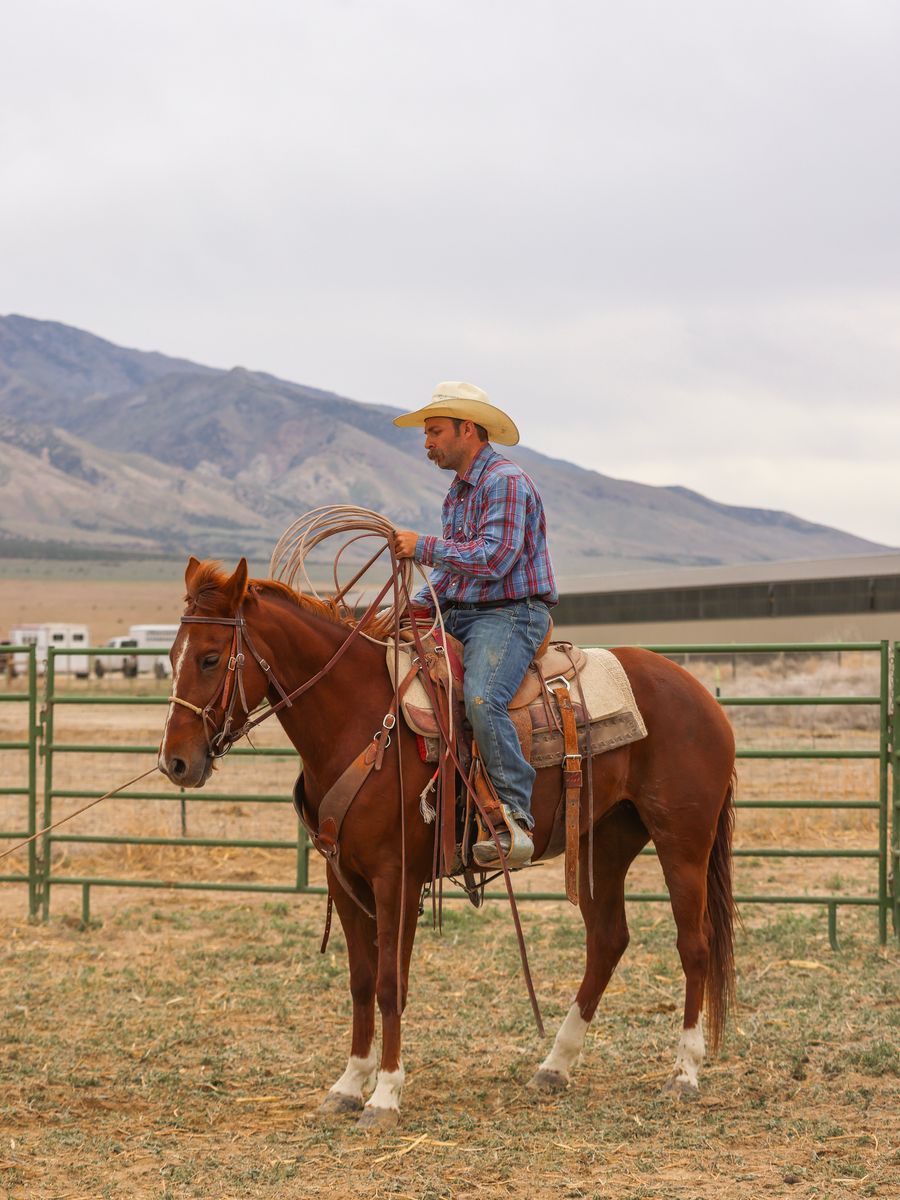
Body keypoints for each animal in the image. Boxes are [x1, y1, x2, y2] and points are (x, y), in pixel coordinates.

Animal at [158, 556, 737, 1129]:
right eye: (171, 655)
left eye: (210, 658)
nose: (176, 762)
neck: (363, 722)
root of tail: (701, 694)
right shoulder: (342, 878)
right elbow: (361, 982)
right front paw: (348, 1085)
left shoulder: (396, 878)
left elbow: (390, 983)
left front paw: (385, 1095)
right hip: (606, 841)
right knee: (608, 941)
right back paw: (554, 1065)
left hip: (683, 841)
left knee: (694, 944)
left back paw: (684, 1073)